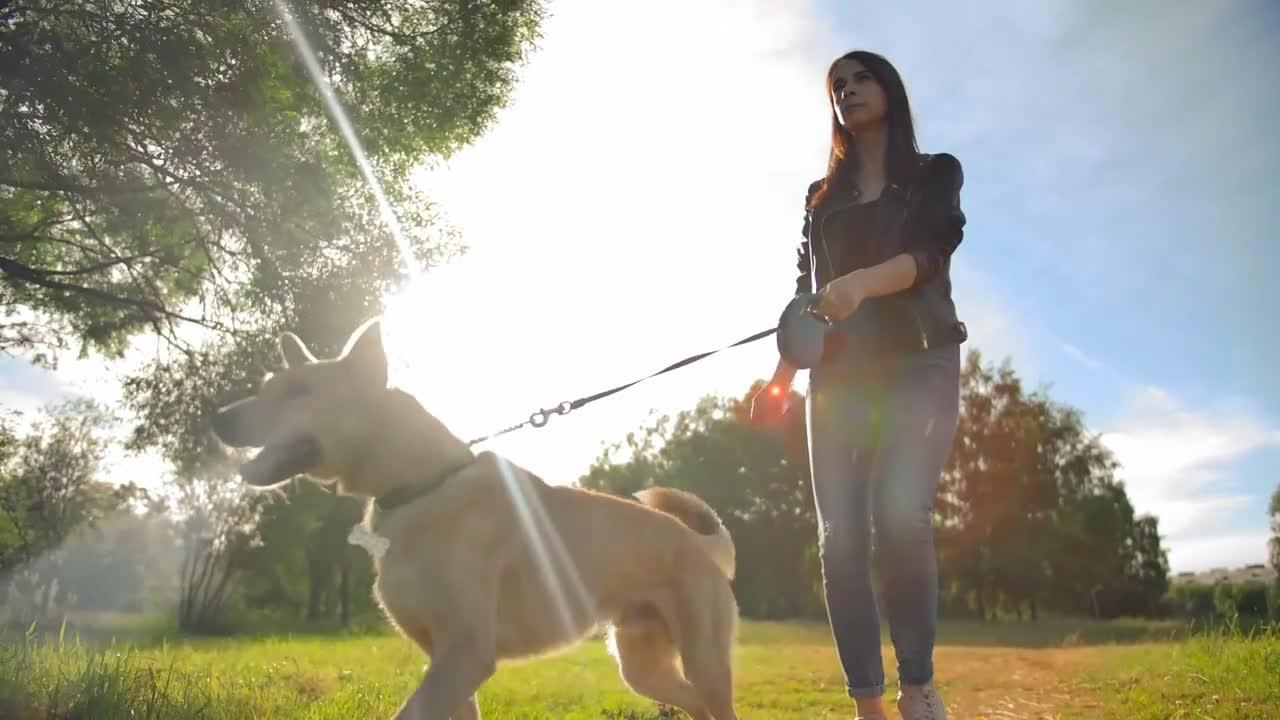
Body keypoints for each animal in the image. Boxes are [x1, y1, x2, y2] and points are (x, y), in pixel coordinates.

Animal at [212, 319, 742, 717]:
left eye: (299, 390)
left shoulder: (465, 652)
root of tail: (700, 544)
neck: (422, 485)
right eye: (265, 389)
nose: (217, 417)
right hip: (644, 668)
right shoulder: (444, 659)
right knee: (694, 706)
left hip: (704, 661)